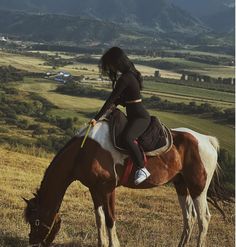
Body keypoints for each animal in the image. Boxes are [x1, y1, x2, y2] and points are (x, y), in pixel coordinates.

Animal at [24, 121, 223, 247]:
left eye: (35, 221)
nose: (32, 241)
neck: (84, 152)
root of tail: (207, 140)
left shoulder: (107, 189)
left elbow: (110, 218)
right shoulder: (95, 190)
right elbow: (99, 218)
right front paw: (101, 243)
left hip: (198, 188)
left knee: (203, 218)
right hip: (181, 186)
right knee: (189, 217)